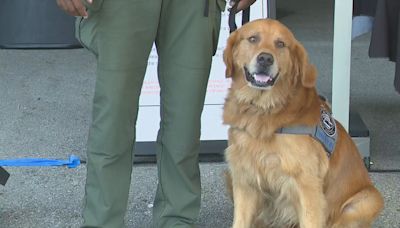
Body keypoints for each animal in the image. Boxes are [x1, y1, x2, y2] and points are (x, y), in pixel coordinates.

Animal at [223, 19, 382, 228]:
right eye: (253, 38)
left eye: (280, 44)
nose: (265, 59)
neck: (264, 110)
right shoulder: (243, 178)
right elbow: (240, 221)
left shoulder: (307, 185)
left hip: (367, 200)